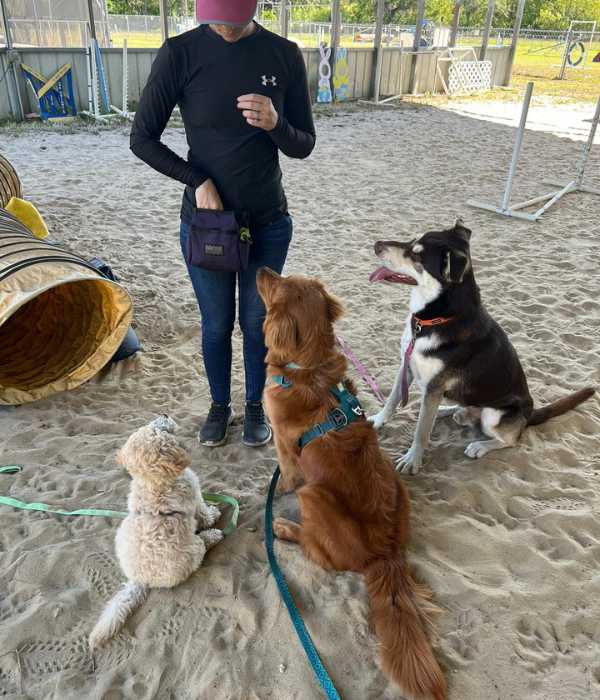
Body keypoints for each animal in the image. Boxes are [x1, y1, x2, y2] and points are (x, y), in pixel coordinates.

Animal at [88, 416, 221, 652]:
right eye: (156, 430)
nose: (165, 414)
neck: (153, 482)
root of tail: (140, 579)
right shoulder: (195, 498)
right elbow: (204, 512)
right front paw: (214, 515)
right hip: (193, 549)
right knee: (202, 546)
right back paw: (213, 536)